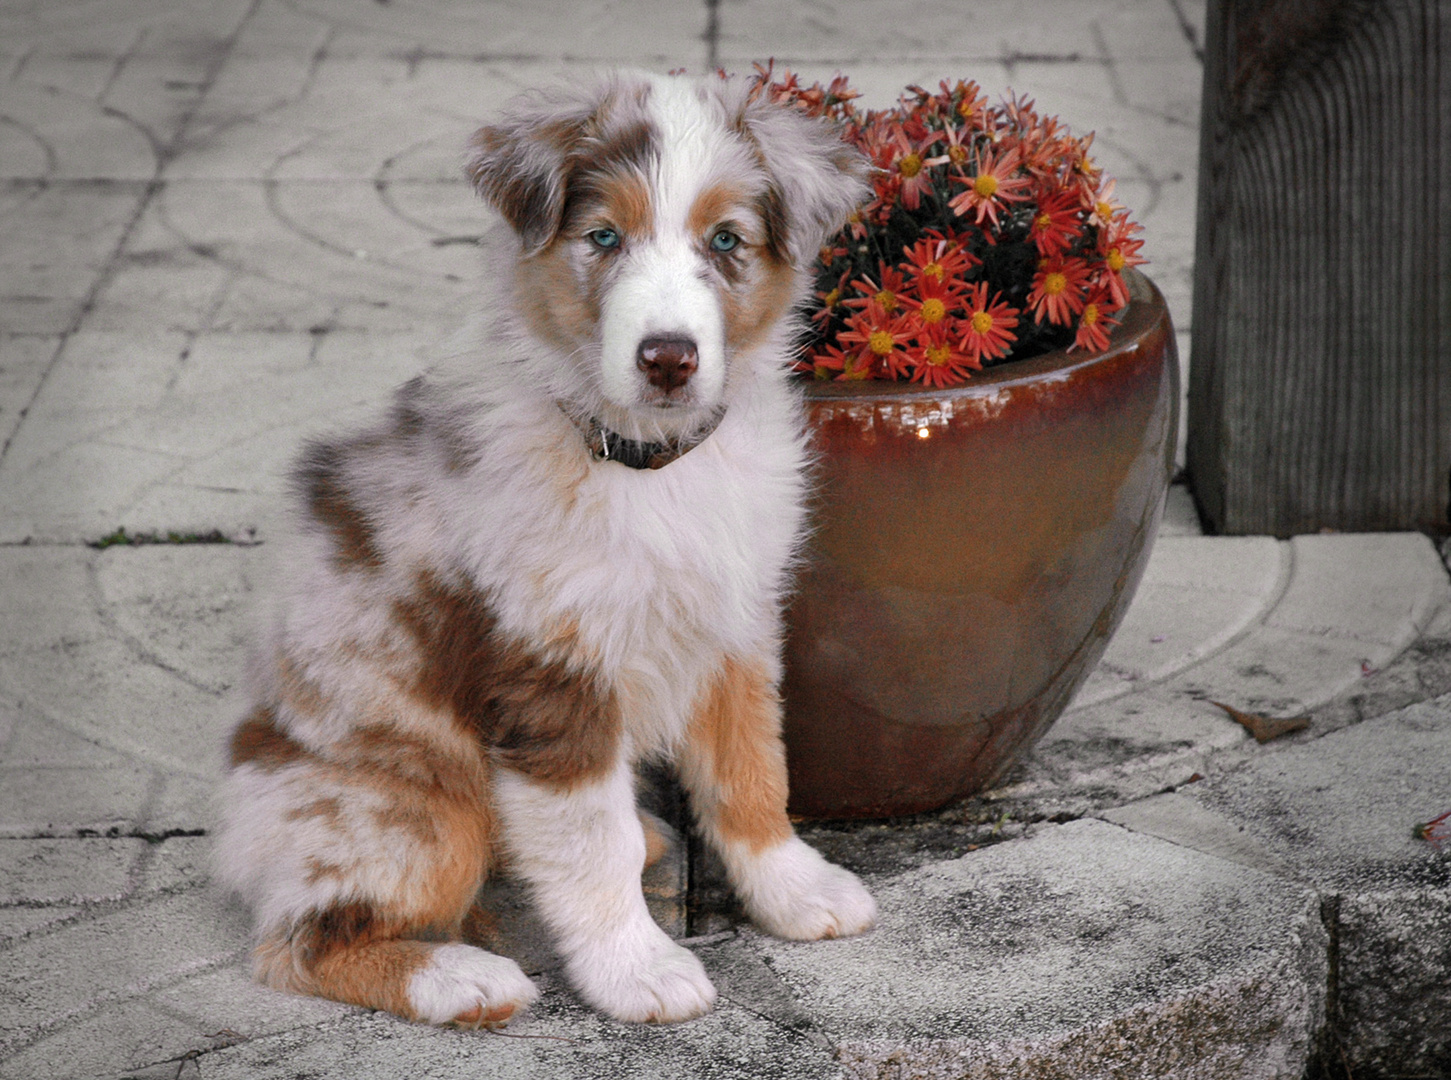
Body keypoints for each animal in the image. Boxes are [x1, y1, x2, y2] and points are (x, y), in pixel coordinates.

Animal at [211, 71, 870, 1027]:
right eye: (603, 237)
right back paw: (460, 978)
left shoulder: (735, 623)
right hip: (411, 804)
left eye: (725, 241)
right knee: (300, 939)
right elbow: (591, 845)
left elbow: (751, 770)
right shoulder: (552, 672)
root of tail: (234, 821)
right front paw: (638, 971)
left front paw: (796, 890)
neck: (643, 465)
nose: (668, 359)